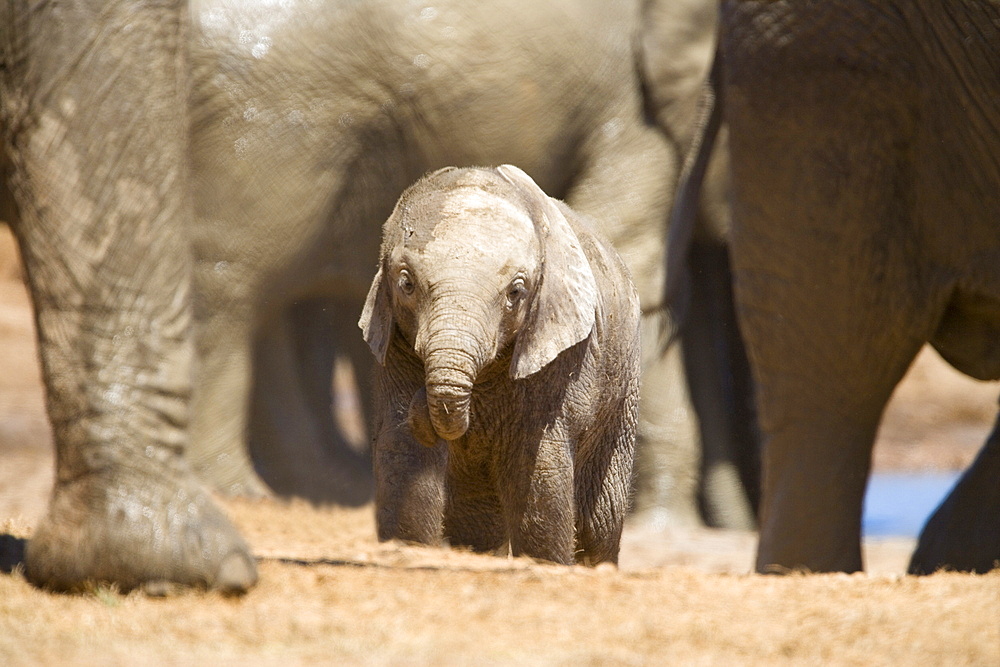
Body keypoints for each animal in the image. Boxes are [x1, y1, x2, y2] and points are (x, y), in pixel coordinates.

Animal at [360, 166, 640, 564]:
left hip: (624, 387)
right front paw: (408, 551)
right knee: (478, 517)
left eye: (516, 292)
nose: (422, 403)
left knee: (601, 519)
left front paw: (545, 565)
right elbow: (404, 453)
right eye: (406, 283)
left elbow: (536, 465)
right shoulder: (393, 339)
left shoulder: (561, 353)